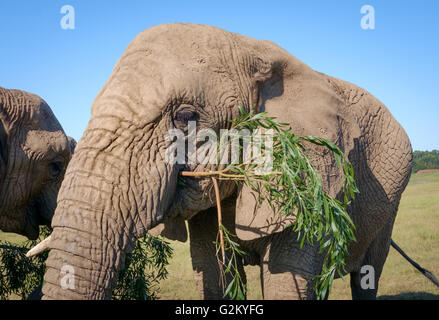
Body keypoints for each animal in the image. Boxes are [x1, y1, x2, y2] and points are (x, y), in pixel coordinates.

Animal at [40, 23, 412, 300]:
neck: (252, 49)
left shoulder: (313, 177)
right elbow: (214, 273)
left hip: (391, 204)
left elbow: (284, 281)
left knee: (367, 276)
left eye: (185, 116)